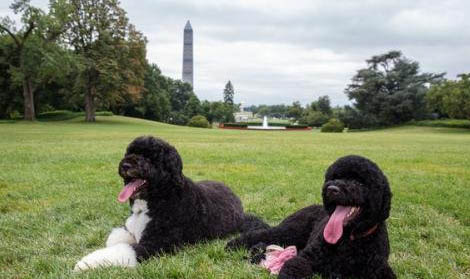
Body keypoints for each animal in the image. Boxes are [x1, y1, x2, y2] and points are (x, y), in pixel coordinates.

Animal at [74, 137, 268, 272]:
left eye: (149, 158)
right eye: (129, 152)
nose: (125, 165)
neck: (159, 198)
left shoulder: (157, 243)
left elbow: (123, 250)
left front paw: (86, 263)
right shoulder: (132, 229)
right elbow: (116, 238)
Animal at [226, 156, 394, 278]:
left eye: (358, 182)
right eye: (334, 177)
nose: (332, 189)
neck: (349, 239)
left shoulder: (379, 269)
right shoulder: (306, 258)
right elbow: (293, 267)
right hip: (289, 231)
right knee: (261, 234)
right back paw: (233, 244)